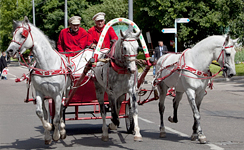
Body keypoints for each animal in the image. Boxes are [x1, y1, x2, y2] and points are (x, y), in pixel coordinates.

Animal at [6, 16, 71, 144]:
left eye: (23, 35)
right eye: (13, 33)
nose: (9, 51)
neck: (47, 65)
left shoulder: (57, 94)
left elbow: (56, 118)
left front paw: (56, 135)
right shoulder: (39, 93)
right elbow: (40, 113)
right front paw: (48, 130)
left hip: (64, 93)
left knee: (61, 109)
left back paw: (62, 130)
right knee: (46, 112)